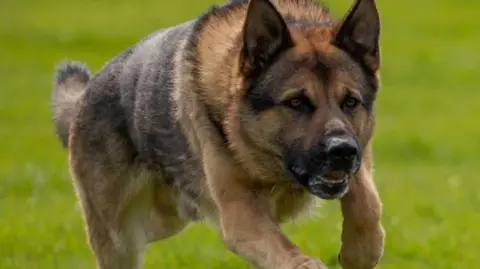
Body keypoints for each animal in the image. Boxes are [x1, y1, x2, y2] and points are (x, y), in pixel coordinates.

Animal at [50, 0, 384, 266]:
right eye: (296, 102)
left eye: (351, 102)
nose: (342, 151)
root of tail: (84, 97)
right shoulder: (240, 218)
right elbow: (293, 257)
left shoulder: (360, 155)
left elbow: (367, 203)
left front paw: (359, 252)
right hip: (120, 237)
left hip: (165, 218)